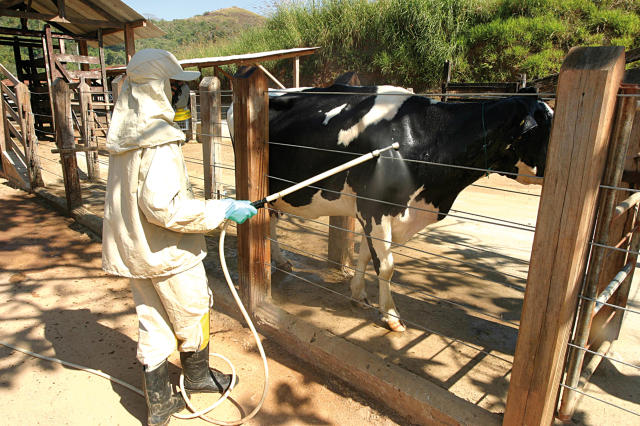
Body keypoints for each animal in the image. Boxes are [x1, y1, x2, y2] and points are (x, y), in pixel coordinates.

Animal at [229, 85, 552, 332]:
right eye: (544, 128)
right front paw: (391, 316)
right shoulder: (376, 208)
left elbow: (363, 257)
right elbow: (386, 267)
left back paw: (281, 260)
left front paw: (358, 295)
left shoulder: (370, 213)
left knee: (271, 218)